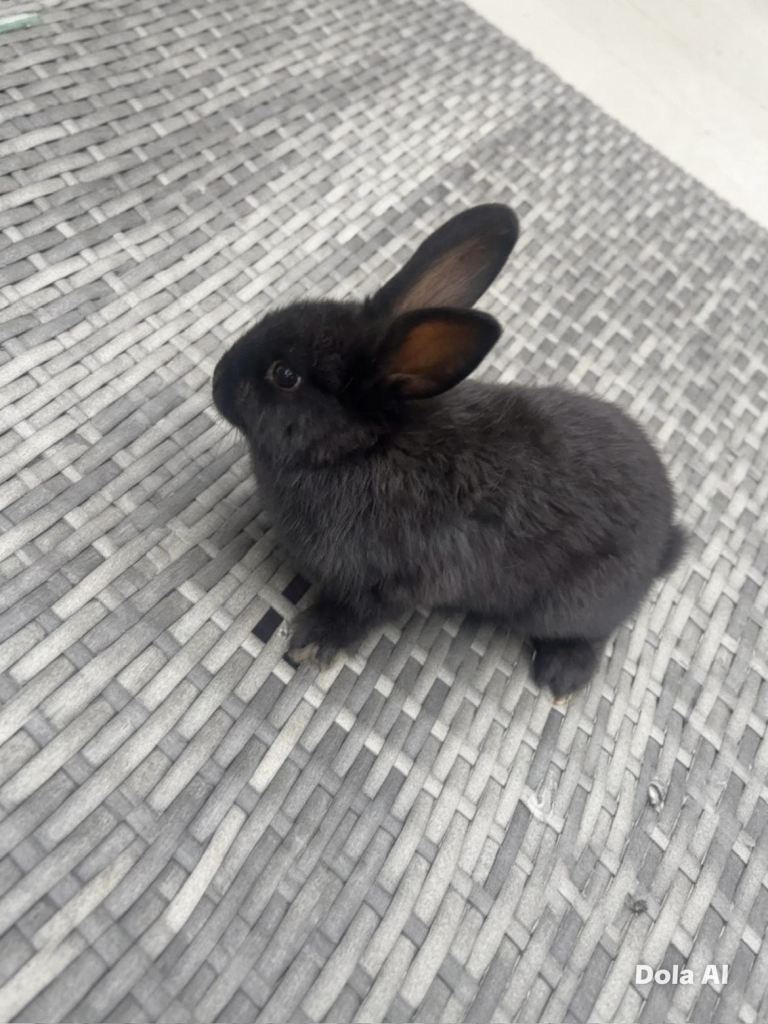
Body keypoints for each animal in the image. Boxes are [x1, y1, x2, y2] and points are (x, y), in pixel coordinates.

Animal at [212, 204, 685, 698]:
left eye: (285, 375)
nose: (217, 378)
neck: (363, 448)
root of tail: (663, 541)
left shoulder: (393, 585)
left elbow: (360, 614)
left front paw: (314, 641)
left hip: (572, 604)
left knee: (593, 633)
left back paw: (562, 673)